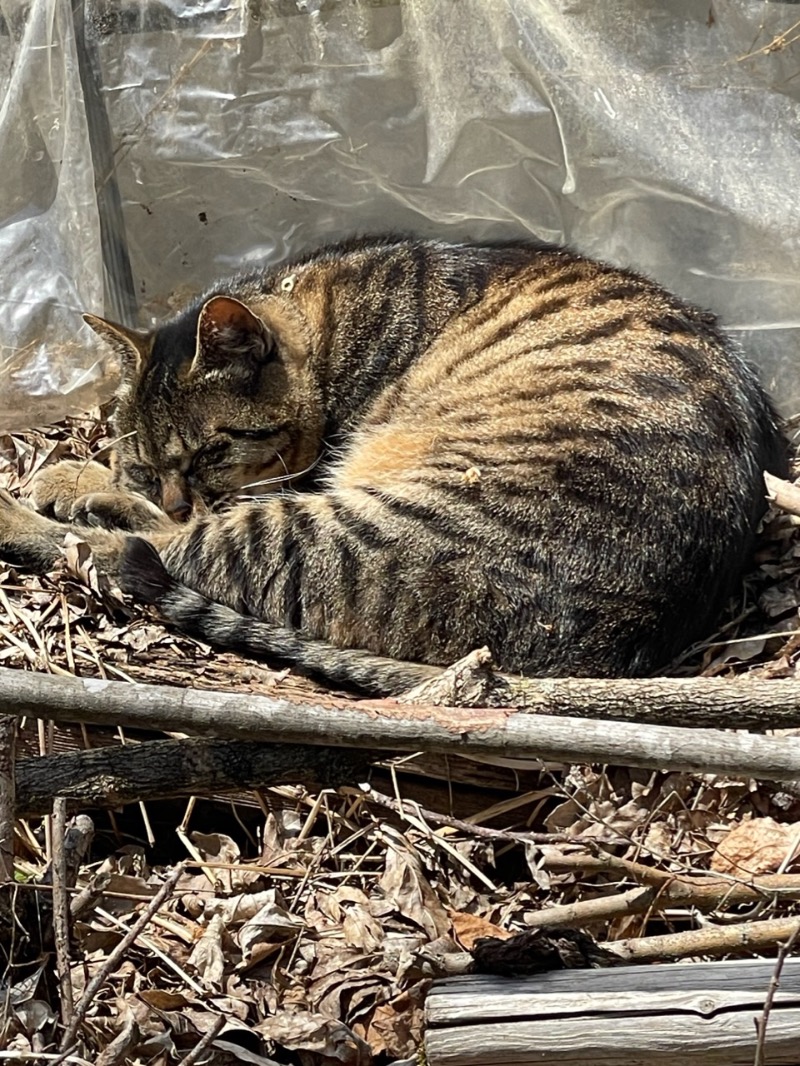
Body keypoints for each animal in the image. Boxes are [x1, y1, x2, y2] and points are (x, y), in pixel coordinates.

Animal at [0, 236, 789, 695]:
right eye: (146, 463)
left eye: (213, 452)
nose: (173, 495)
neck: (321, 320)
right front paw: (85, 476)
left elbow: (152, 525)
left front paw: (76, 485)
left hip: (344, 525)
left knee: (131, 552)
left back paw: (29, 515)